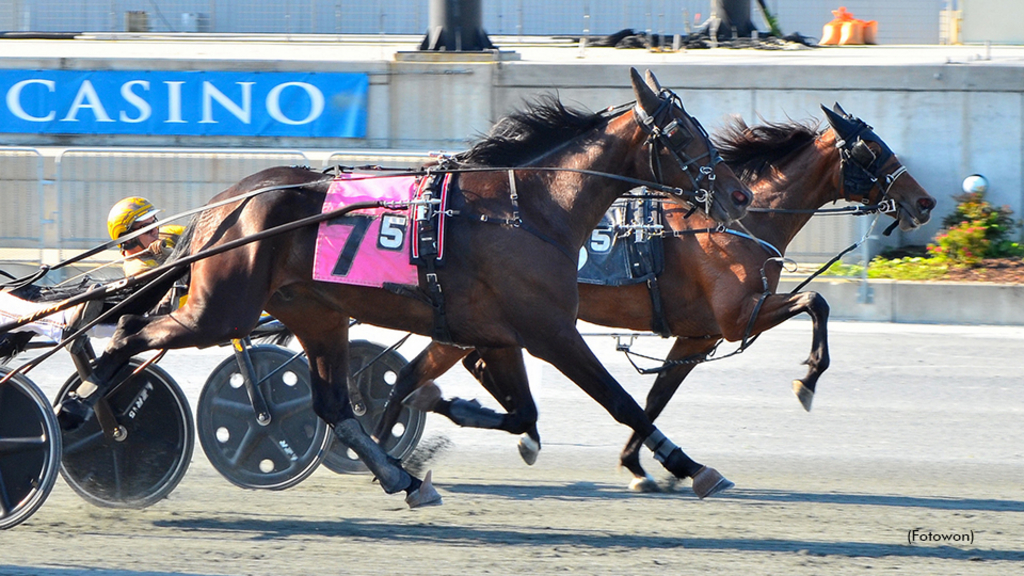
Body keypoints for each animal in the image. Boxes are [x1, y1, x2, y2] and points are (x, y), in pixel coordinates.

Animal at [58, 67, 753, 504]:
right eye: (682, 134)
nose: (740, 193)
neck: (528, 208)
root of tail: (225, 204)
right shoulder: (550, 330)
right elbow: (622, 402)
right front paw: (691, 467)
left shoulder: (495, 333)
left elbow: (518, 411)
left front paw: (437, 415)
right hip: (220, 309)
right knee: (130, 329)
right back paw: (82, 405)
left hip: (316, 315)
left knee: (332, 406)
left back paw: (405, 479)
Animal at [385, 101, 937, 487]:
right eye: (870, 150)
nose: (924, 201)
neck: (737, 222)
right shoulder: (737, 316)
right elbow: (814, 303)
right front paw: (807, 381)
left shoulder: (700, 334)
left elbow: (656, 395)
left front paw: (638, 462)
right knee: (437, 369)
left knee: (439, 368)